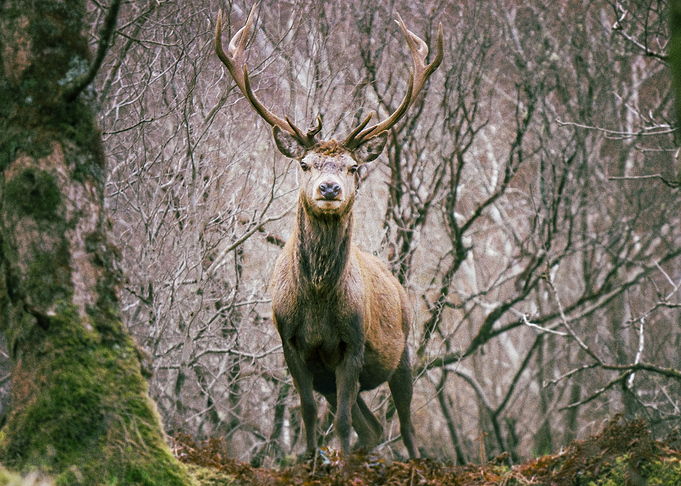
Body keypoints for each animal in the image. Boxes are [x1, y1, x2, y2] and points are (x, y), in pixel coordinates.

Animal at [215, 5, 443, 459]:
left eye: (353, 167)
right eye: (305, 163)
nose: (329, 188)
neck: (318, 302)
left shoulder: (353, 344)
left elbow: (339, 423)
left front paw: (336, 464)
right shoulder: (291, 344)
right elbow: (307, 411)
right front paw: (309, 460)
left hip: (405, 350)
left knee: (405, 424)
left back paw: (412, 462)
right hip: (335, 376)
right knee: (372, 426)